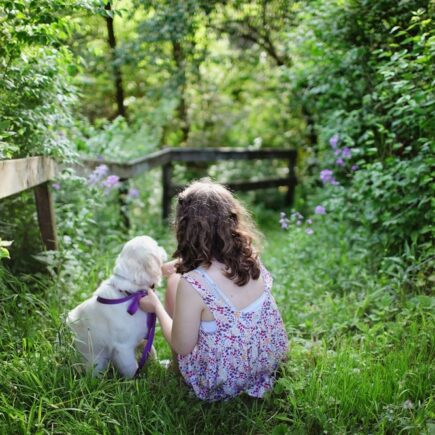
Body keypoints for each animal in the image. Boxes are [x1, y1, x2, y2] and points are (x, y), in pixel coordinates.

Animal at [67, 235, 168, 378]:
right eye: (156, 245)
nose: (163, 248)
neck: (131, 294)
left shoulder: (144, 337)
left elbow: (152, 351)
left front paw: (159, 365)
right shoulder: (123, 347)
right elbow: (131, 368)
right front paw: (135, 380)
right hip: (96, 360)